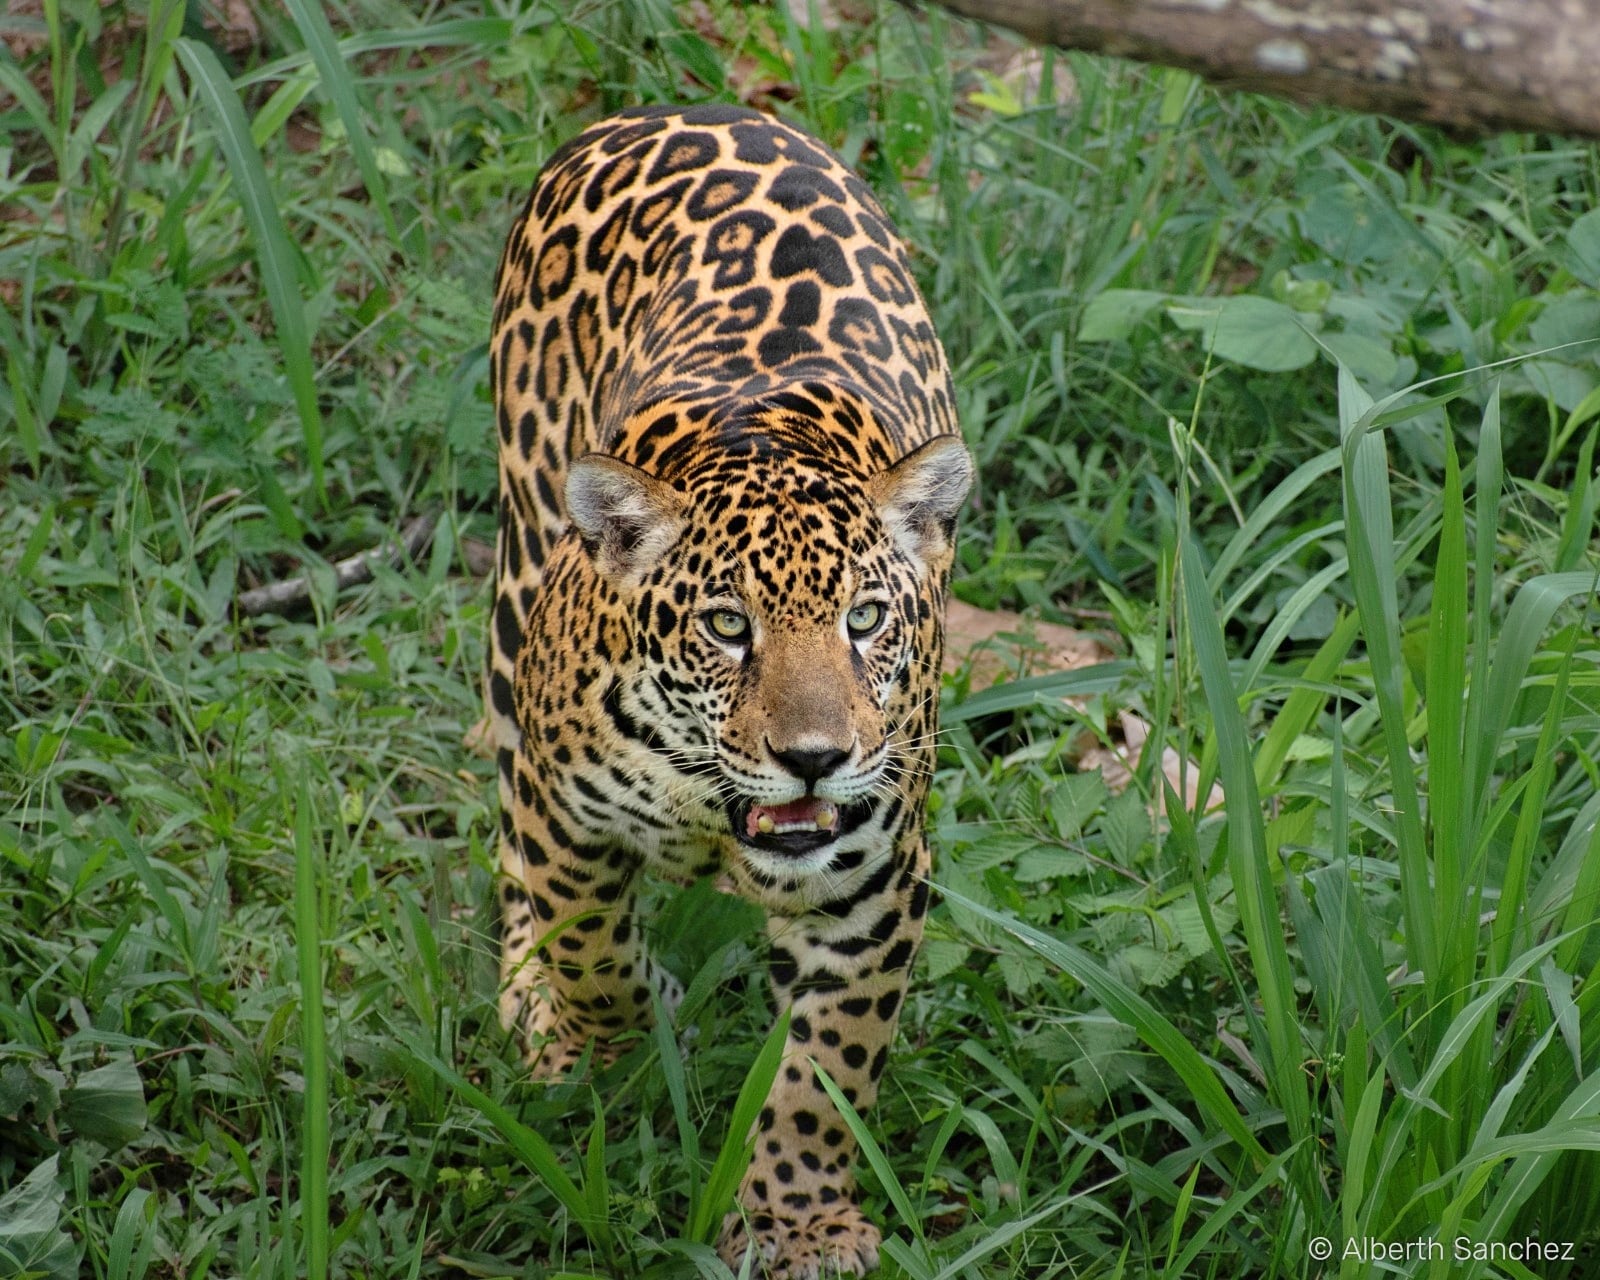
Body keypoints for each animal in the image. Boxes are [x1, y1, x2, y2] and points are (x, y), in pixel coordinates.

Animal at [484, 102, 972, 1279]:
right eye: (726, 627)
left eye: (864, 620)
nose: (816, 758)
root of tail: (673, 107)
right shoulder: (568, 816)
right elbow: (588, 946)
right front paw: (616, 1043)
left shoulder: (872, 884)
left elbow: (825, 1076)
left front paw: (799, 1224)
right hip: (519, 574)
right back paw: (533, 1003)